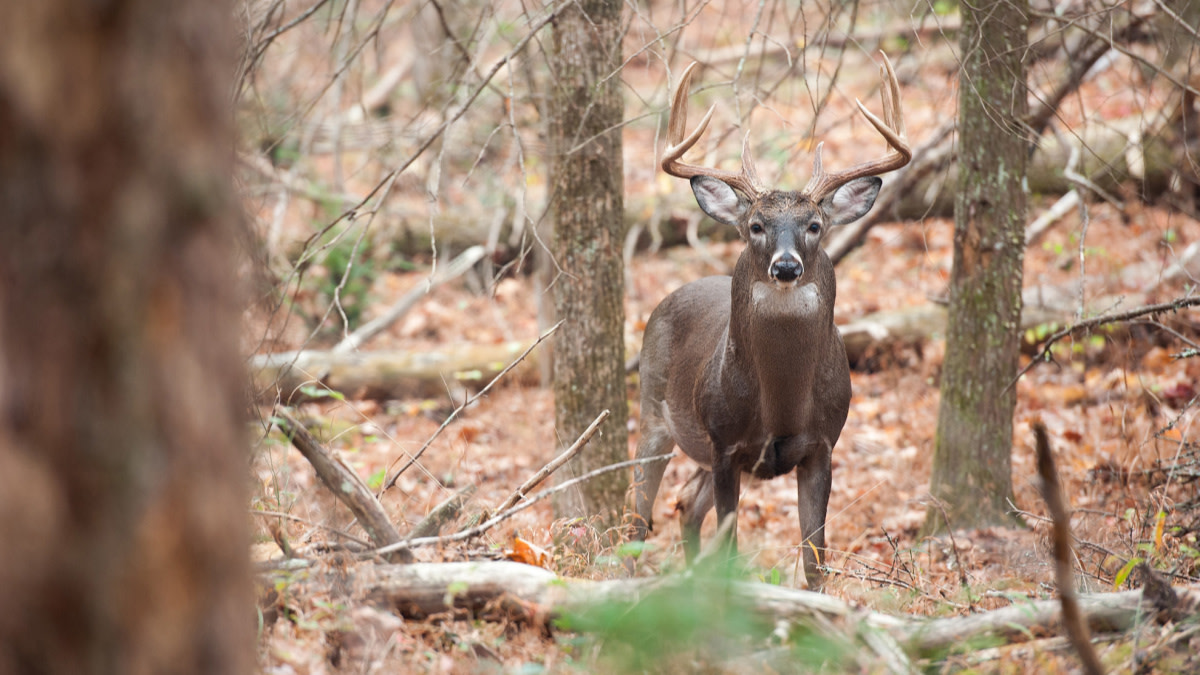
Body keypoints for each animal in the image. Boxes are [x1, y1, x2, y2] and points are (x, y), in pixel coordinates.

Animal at [628, 55, 907, 586]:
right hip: (654, 410)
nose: (786, 266)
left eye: (814, 225)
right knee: (639, 509)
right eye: (755, 226)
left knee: (683, 504)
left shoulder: (823, 445)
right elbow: (731, 548)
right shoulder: (724, 445)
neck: (780, 404)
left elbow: (816, 558)